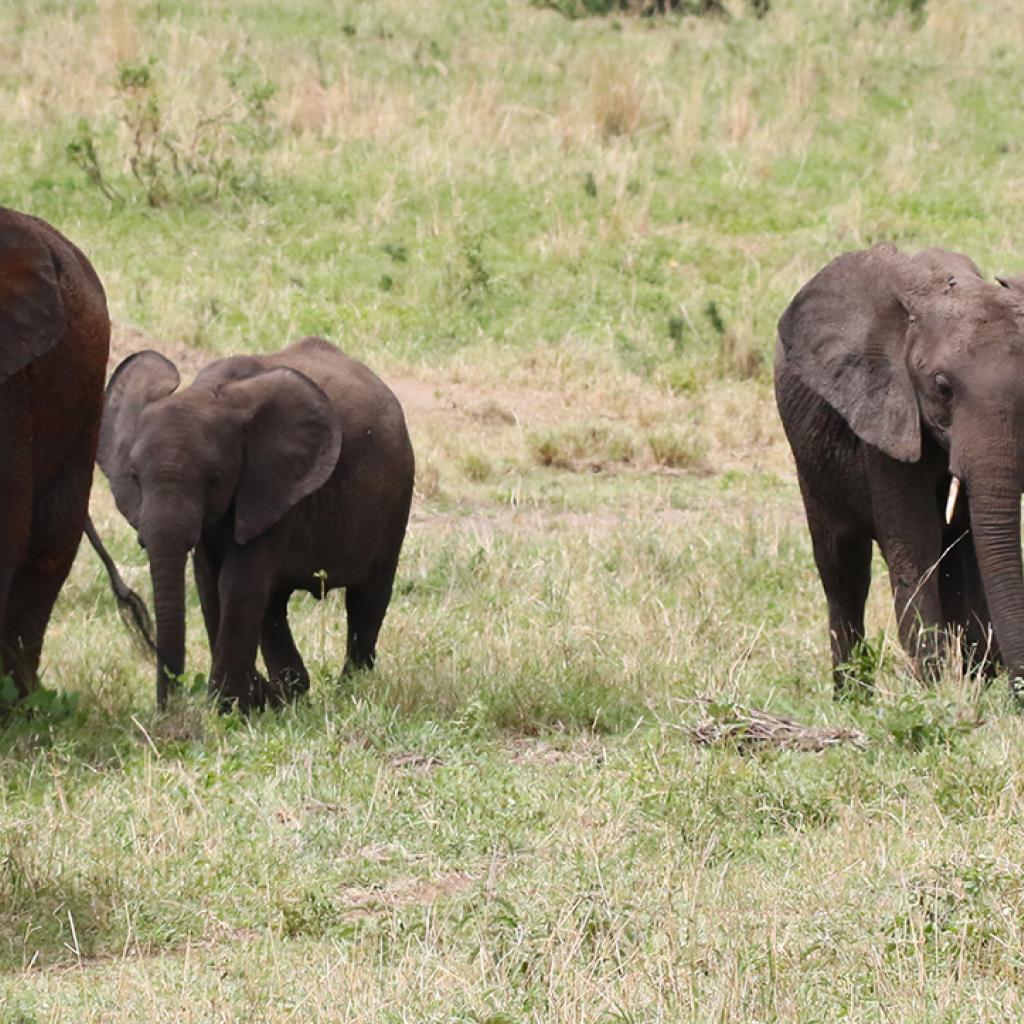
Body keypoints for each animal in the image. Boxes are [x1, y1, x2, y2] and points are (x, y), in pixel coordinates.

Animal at [774, 243, 1024, 700]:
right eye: (942, 387)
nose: (1018, 692)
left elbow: (968, 550)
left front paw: (975, 688)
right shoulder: (885, 411)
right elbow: (916, 545)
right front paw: (934, 692)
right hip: (809, 461)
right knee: (843, 570)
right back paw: (851, 698)